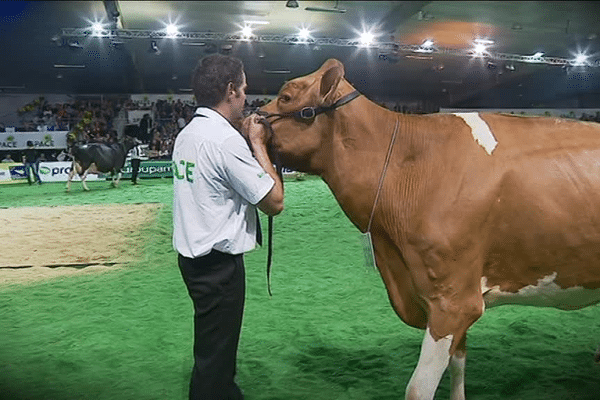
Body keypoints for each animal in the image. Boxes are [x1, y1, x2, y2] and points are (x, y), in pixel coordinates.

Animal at [260, 59, 600, 400]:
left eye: (286, 97)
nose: (251, 118)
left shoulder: (454, 300)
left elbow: (418, 388)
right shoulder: (450, 294)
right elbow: (458, 361)